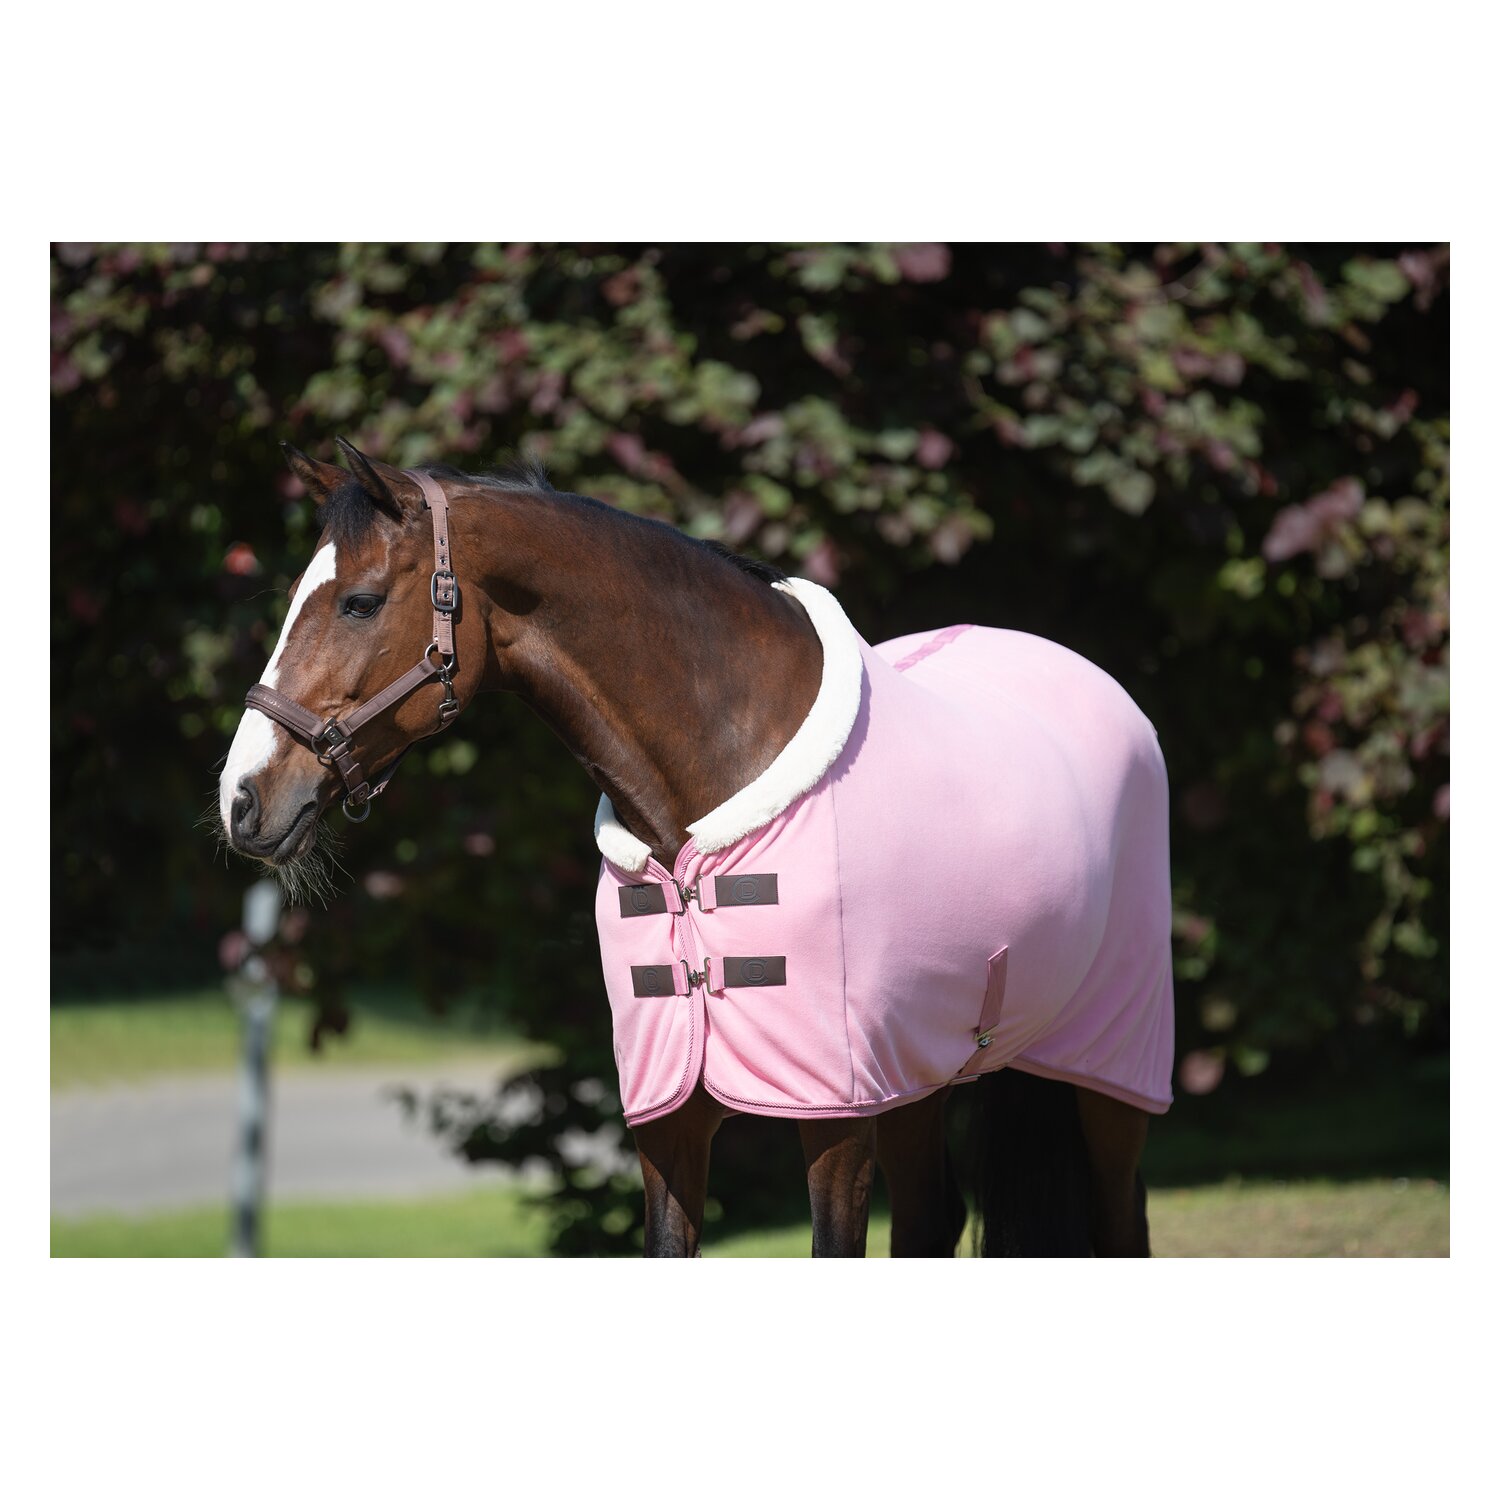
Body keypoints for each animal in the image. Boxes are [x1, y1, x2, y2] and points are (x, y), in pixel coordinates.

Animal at [217, 440, 1173, 1257]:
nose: (242, 799)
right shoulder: (670, 1121)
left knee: (1120, 1219)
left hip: (1107, 1077)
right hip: (921, 1075)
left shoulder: (835, 1117)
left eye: (360, 601)